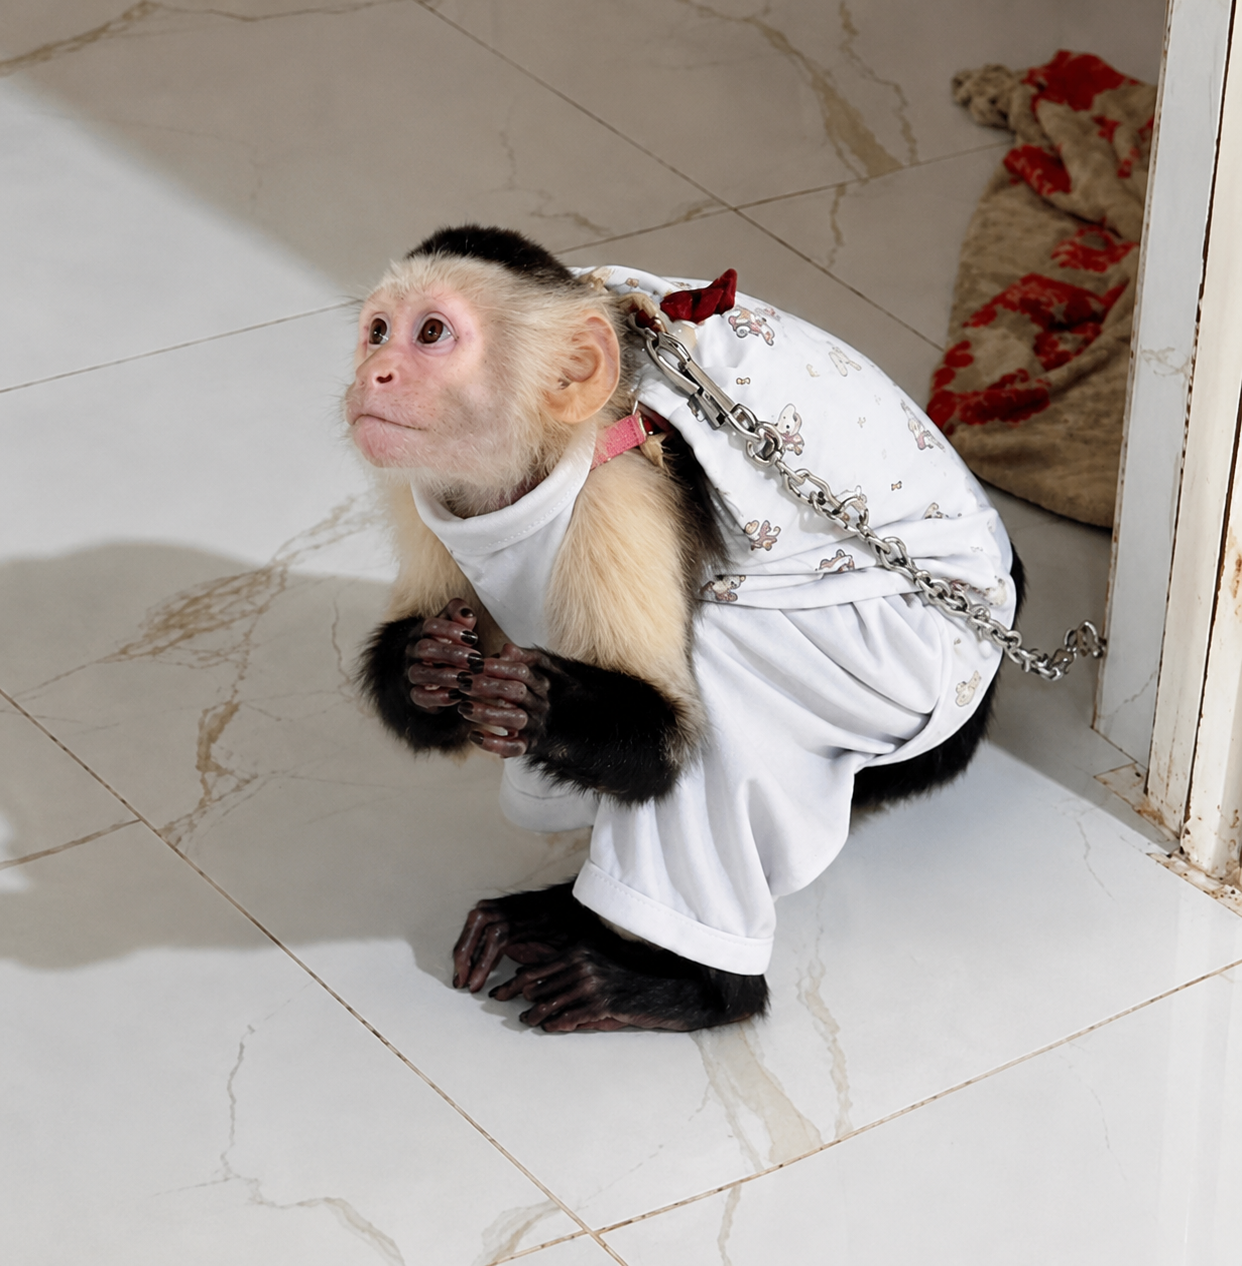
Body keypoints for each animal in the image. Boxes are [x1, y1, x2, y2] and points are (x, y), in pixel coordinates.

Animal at [347, 225, 1024, 1033]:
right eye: (378, 331)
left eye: (431, 334)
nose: (374, 373)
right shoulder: (429, 493)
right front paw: (426, 666)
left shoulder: (626, 490)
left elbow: (664, 743)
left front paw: (538, 705)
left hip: (911, 671)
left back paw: (687, 987)